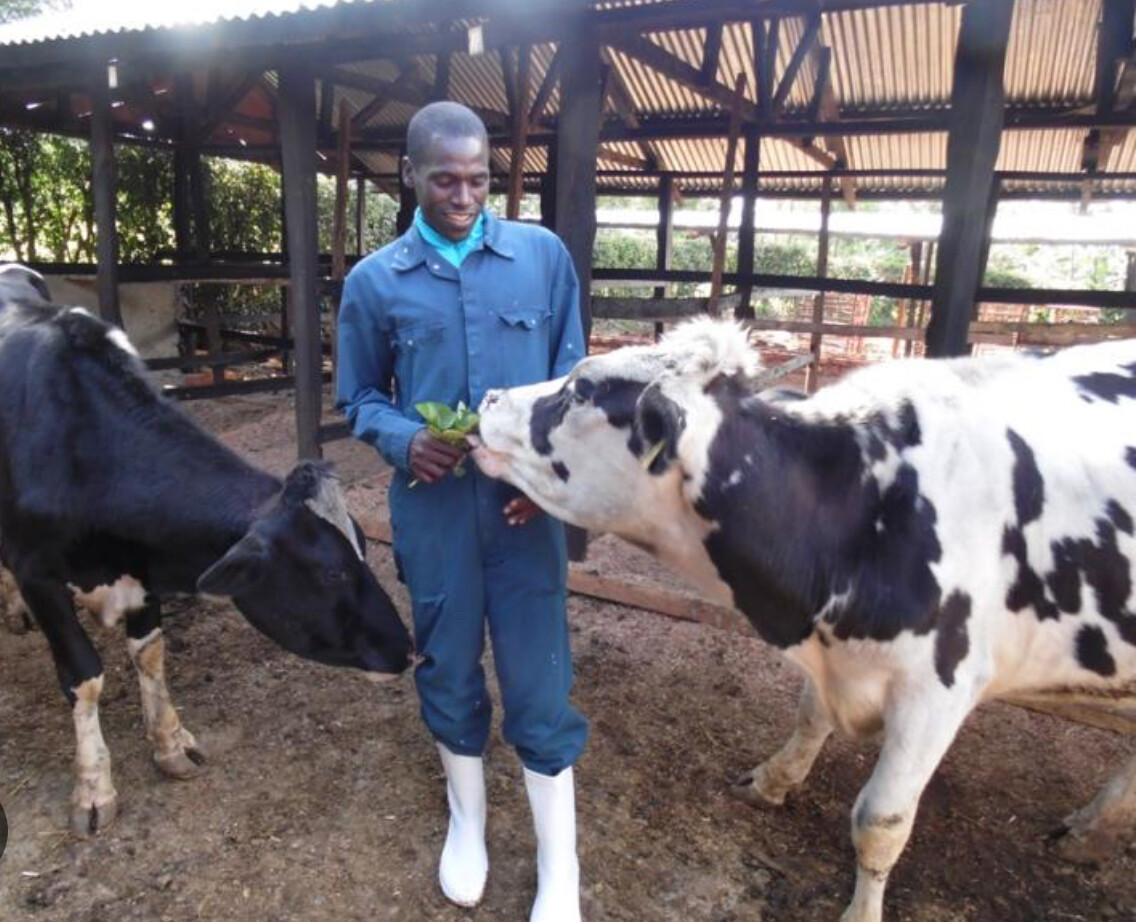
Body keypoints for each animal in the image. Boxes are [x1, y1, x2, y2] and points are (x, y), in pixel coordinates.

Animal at [0, 264, 414, 835]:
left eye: (365, 553)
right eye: (331, 573)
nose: (410, 649)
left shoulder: (145, 563)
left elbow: (149, 653)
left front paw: (170, 742)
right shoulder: (39, 573)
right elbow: (83, 677)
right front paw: (93, 787)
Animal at [470, 318, 1136, 922]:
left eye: (582, 388)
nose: (489, 396)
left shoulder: (940, 687)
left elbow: (880, 819)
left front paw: (861, 914)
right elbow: (811, 716)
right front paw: (773, 779)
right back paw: (1093, 825)